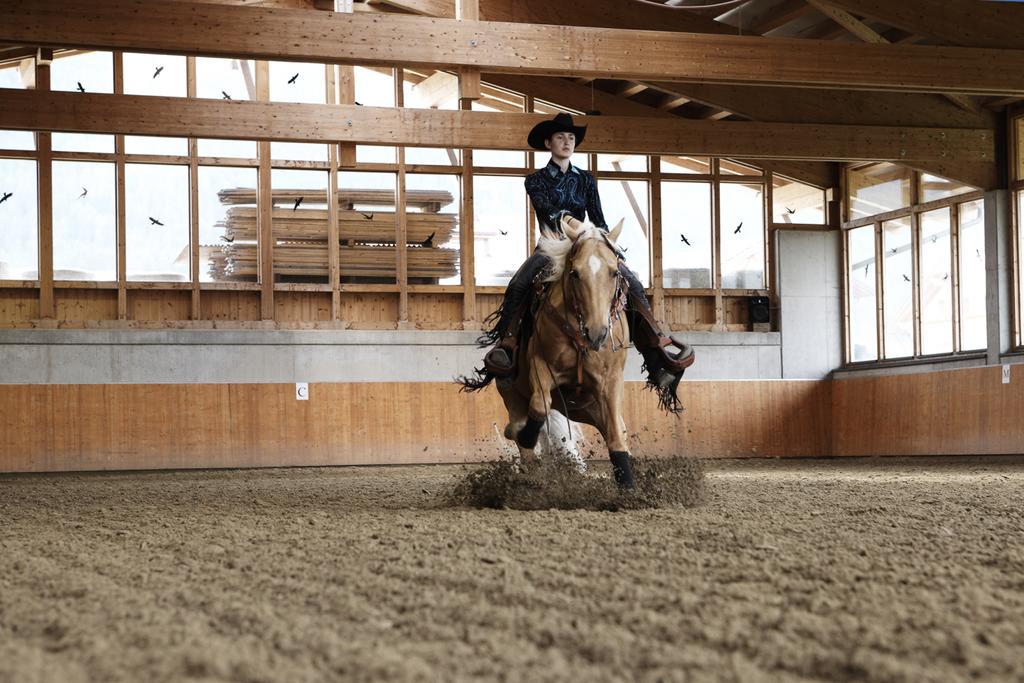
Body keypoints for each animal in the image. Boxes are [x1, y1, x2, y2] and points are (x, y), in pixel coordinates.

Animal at [497, 216, 634, 489]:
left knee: (617, 431)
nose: (597, 333)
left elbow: (616, 437)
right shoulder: (540, 364)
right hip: (512, 393)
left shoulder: (611, 382)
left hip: (589, 408)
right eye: (575, 273)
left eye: (614, 272)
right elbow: (539, 407)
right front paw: (526, 435)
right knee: (521, 433)